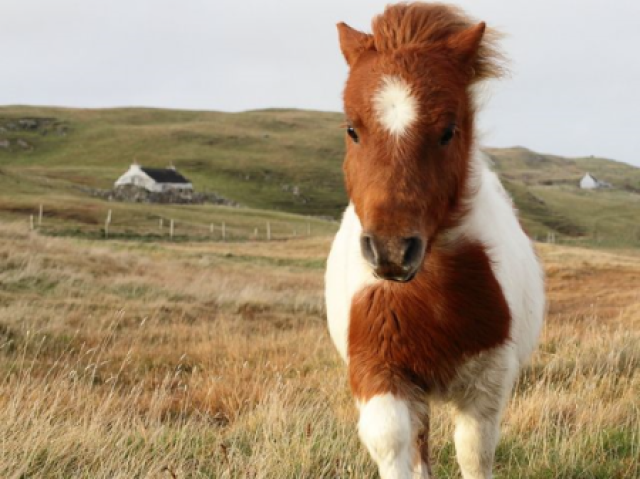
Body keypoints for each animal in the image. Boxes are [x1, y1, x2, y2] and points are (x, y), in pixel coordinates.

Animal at [324, 3, 544, 479]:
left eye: (448, 131)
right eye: (352, 129)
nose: (390, 251)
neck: (429, 300)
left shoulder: (486, 384)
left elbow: (474, 455)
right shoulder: (380, 373)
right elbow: (395, 444)